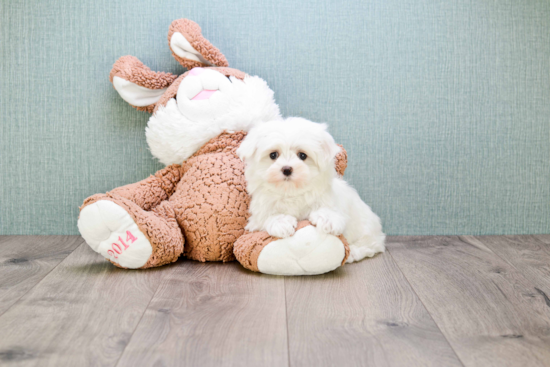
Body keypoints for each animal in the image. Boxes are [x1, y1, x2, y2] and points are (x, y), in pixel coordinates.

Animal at [238, 116, 388, 264]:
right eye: (273, 155)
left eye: (302, 155)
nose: (287, 169)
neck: (291, 192)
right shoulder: (257, 216)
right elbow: (267, 217)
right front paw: (281, 222)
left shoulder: (329, 200)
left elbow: (328, 210)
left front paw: (327, 219)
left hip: (366, 227)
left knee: (372, 243)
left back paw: (353, 252)